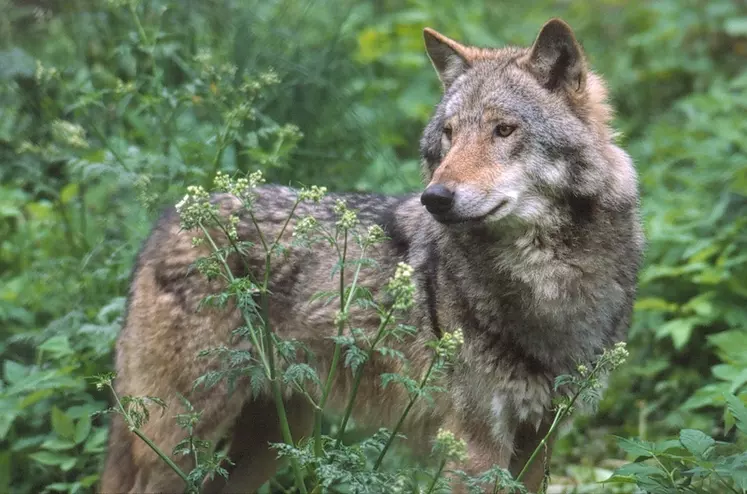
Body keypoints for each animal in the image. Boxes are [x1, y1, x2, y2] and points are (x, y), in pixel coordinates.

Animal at [102, 17, 644, 492]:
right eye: (449, 134)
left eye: (504, 130)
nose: (435, 198)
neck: (547, 278)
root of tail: (170, 218)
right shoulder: (474, 445)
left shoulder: (539, 437)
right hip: (182, 440)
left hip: (270, 440)